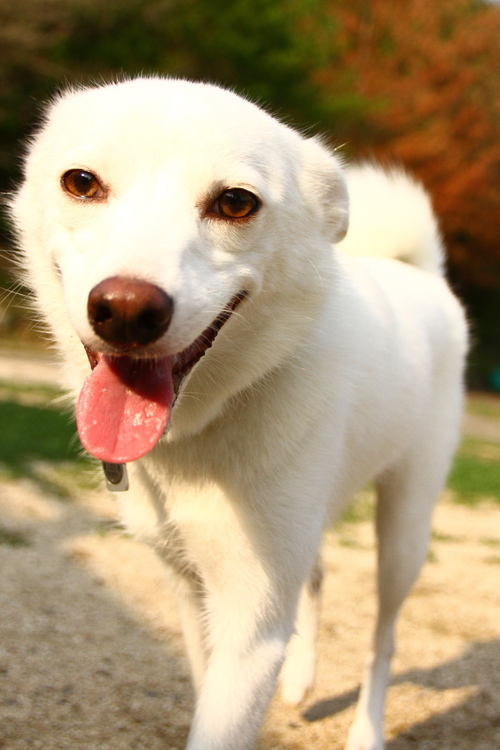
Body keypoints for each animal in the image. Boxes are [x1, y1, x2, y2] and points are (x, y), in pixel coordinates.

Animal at [9, 78, 466, 750]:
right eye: (82, 182)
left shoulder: (252, 621)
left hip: (405, 530)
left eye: (235, 202)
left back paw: (366, 729)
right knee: (316, 575)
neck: (205, 422)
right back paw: (301, 681)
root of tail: (420, 274)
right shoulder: (191, 585)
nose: (125, 310)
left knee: (383, 640)